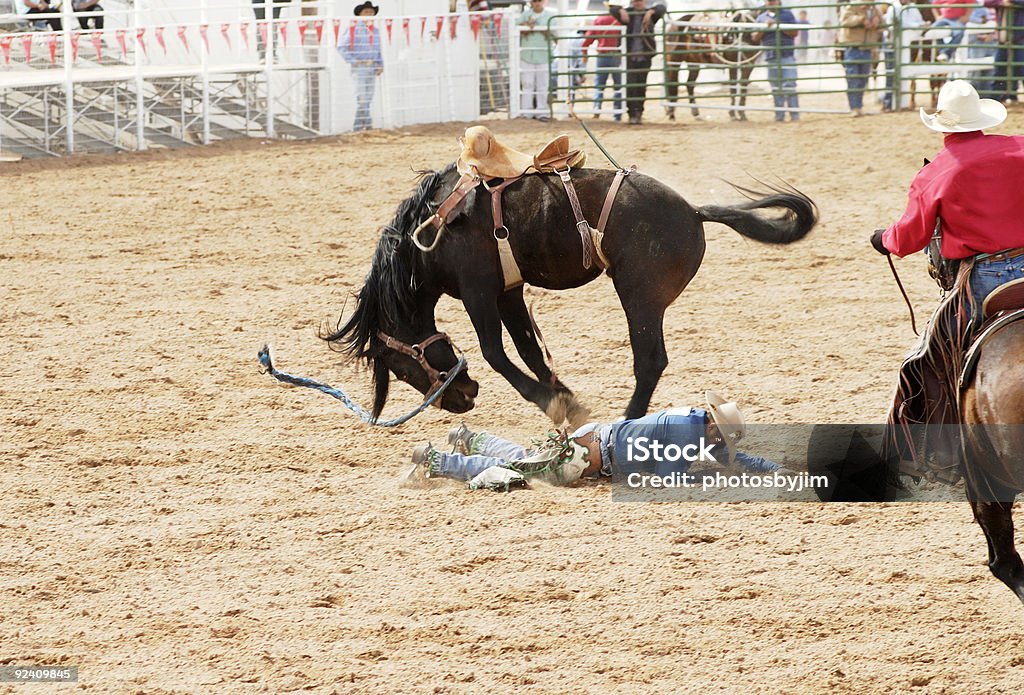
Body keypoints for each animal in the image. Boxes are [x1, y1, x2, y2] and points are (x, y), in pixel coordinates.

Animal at [323, 165, 819, 427]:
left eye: (400, 366)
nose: (461, 397)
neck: (430, 233)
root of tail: (693, 210)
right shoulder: (509, 291)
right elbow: (528, 349)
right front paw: (566, 397)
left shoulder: (478, 290)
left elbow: (495, 352)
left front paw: (551, 402)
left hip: (638, 295)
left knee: (650, 360)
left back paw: (628, 420)